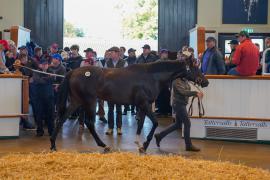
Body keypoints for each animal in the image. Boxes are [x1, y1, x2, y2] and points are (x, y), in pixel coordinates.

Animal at [49, 59, 209, 153]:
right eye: (195, 68)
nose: (206, 82)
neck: (152, 76)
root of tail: (73, 72)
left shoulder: (143, 105)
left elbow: (141, 124)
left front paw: (140, 144)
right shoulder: (144, 104)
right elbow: (155, 123)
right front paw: (145, 144)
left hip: (76, 101)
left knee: (61, 119)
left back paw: (53, 145)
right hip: (89, 101)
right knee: (89, 123)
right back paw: (104, 145)